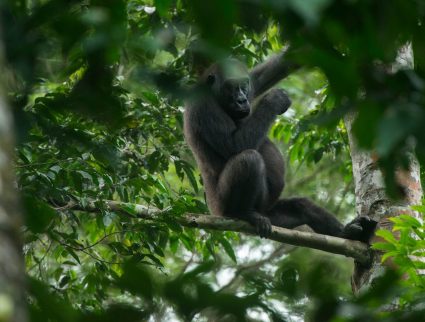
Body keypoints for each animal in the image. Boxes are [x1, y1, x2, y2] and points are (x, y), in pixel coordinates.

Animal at [184, 54, 376, 240]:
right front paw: (274, 100)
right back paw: (241, 213)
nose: (242, 100)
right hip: (221, 209)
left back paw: (344, 232)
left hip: (272, 214)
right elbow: (234, 145)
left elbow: (273, 69)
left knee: (301, 207)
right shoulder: (203, 106)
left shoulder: (253, 83)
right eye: (231, 87)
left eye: (244, 86)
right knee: (249, 159)